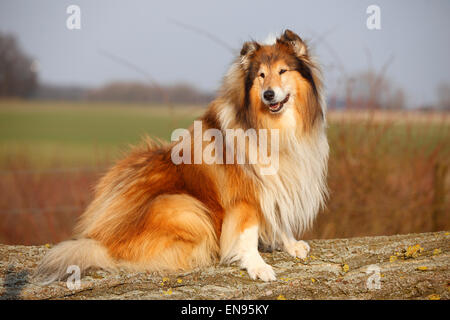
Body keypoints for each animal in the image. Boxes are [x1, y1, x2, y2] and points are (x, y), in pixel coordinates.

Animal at [35, 28, 328, 282]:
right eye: (261, 76)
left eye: (282, 71)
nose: (268, 95)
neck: (271, 126)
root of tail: (100, 240)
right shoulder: (246, 195)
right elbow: (247, 233)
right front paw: (257, 266)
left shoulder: (276, 183)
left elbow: (279, 216)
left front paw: (291, 244)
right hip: (182, 206)